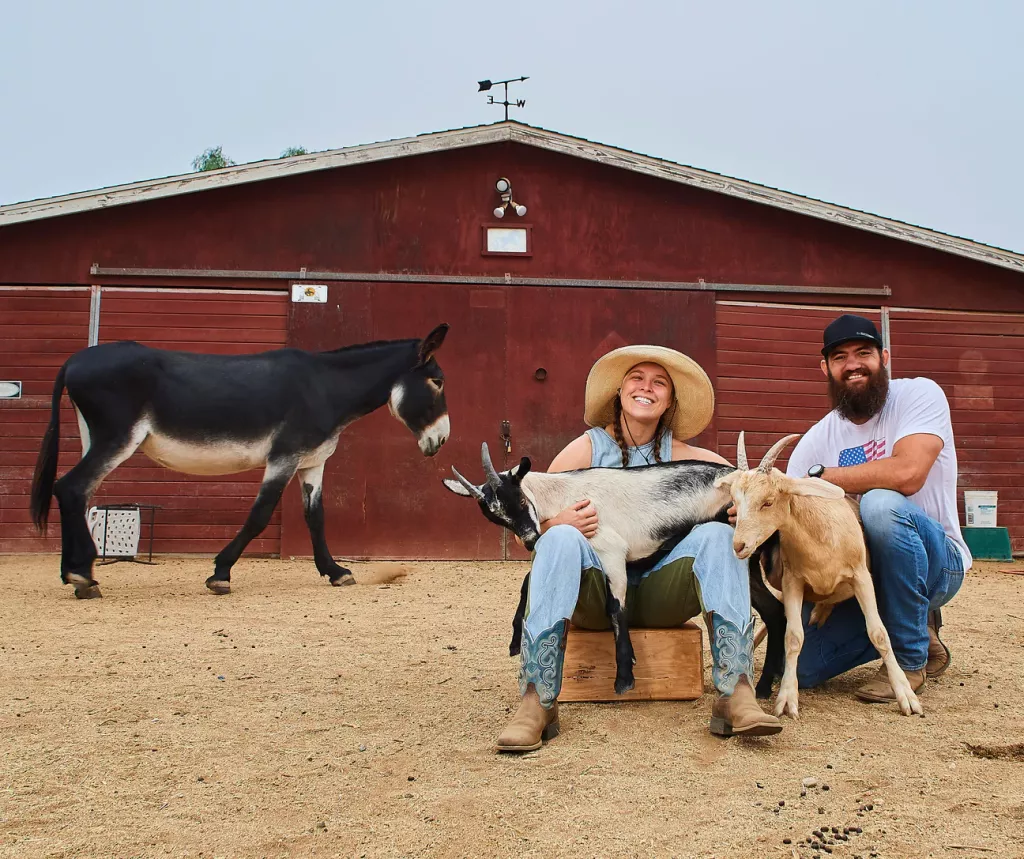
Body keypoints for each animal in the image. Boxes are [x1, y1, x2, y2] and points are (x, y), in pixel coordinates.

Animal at [29, 325, 448, 602]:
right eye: (439, 382)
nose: (442, 441)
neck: (326, 388)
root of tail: (75, 360)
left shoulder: (311, 462)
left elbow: (316, 517)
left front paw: (335, 572)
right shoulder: (283, 457)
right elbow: (260, 515)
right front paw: (220, 573)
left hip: (94, 438)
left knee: (77, 492)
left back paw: (78, 574)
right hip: (116, 439)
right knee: (71, 487)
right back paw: (82, 576)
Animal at [440, 444, 782, 700]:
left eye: (521, 500)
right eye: (497, 518)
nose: (529, 540)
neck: (564, 494)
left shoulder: (612, 552)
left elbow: (616, 608)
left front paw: (625, 676)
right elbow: (527, 581)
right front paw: (514, 640)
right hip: (747, 559)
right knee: (775, 611)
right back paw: (766, 686)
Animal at [716, 430, 925, 720]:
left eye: (768, 501)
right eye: (735, 502)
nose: (739, 546)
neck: (821, 543)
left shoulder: (861, 577)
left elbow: (879, 633)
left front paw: (906, 696)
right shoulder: (792, 582)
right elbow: (793, 637)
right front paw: (787, 699)